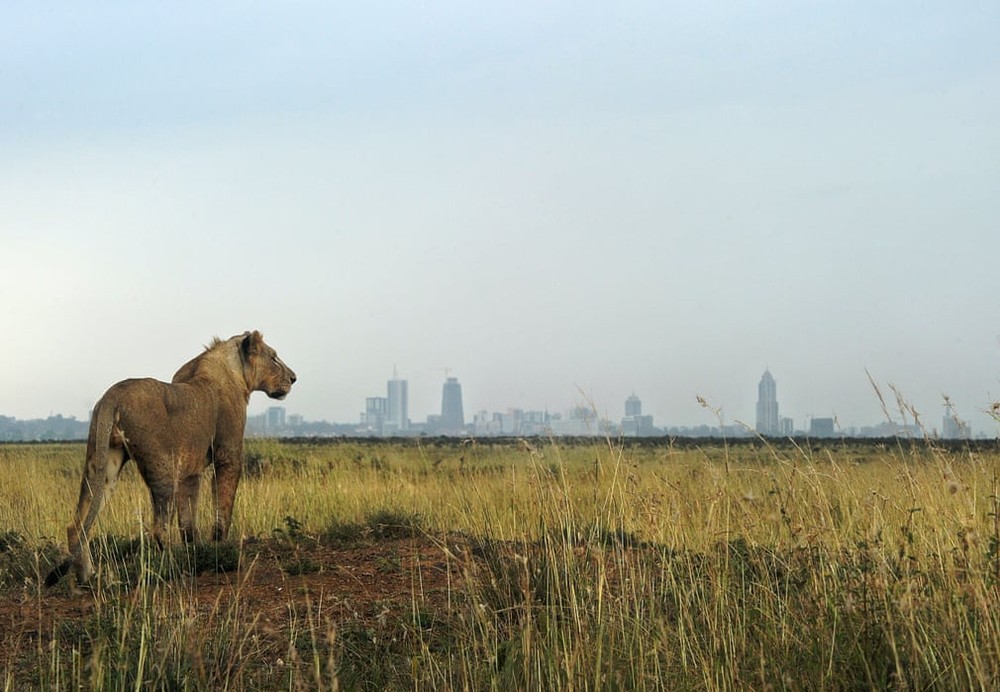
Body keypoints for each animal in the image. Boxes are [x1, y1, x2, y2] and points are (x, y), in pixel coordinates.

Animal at [45, 330, 294, 584]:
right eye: (274, 358)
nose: (294, 378)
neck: (234, 372)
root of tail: (112, 395)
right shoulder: (228, 456)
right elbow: (222, 509)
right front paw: (221, 551)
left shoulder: (190, 473)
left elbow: (188, 522)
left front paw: (197, 554)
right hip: (163, 468)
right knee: (158, 527)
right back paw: (175, 570)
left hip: (103, 464)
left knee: (77, 524)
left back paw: (88, 577)